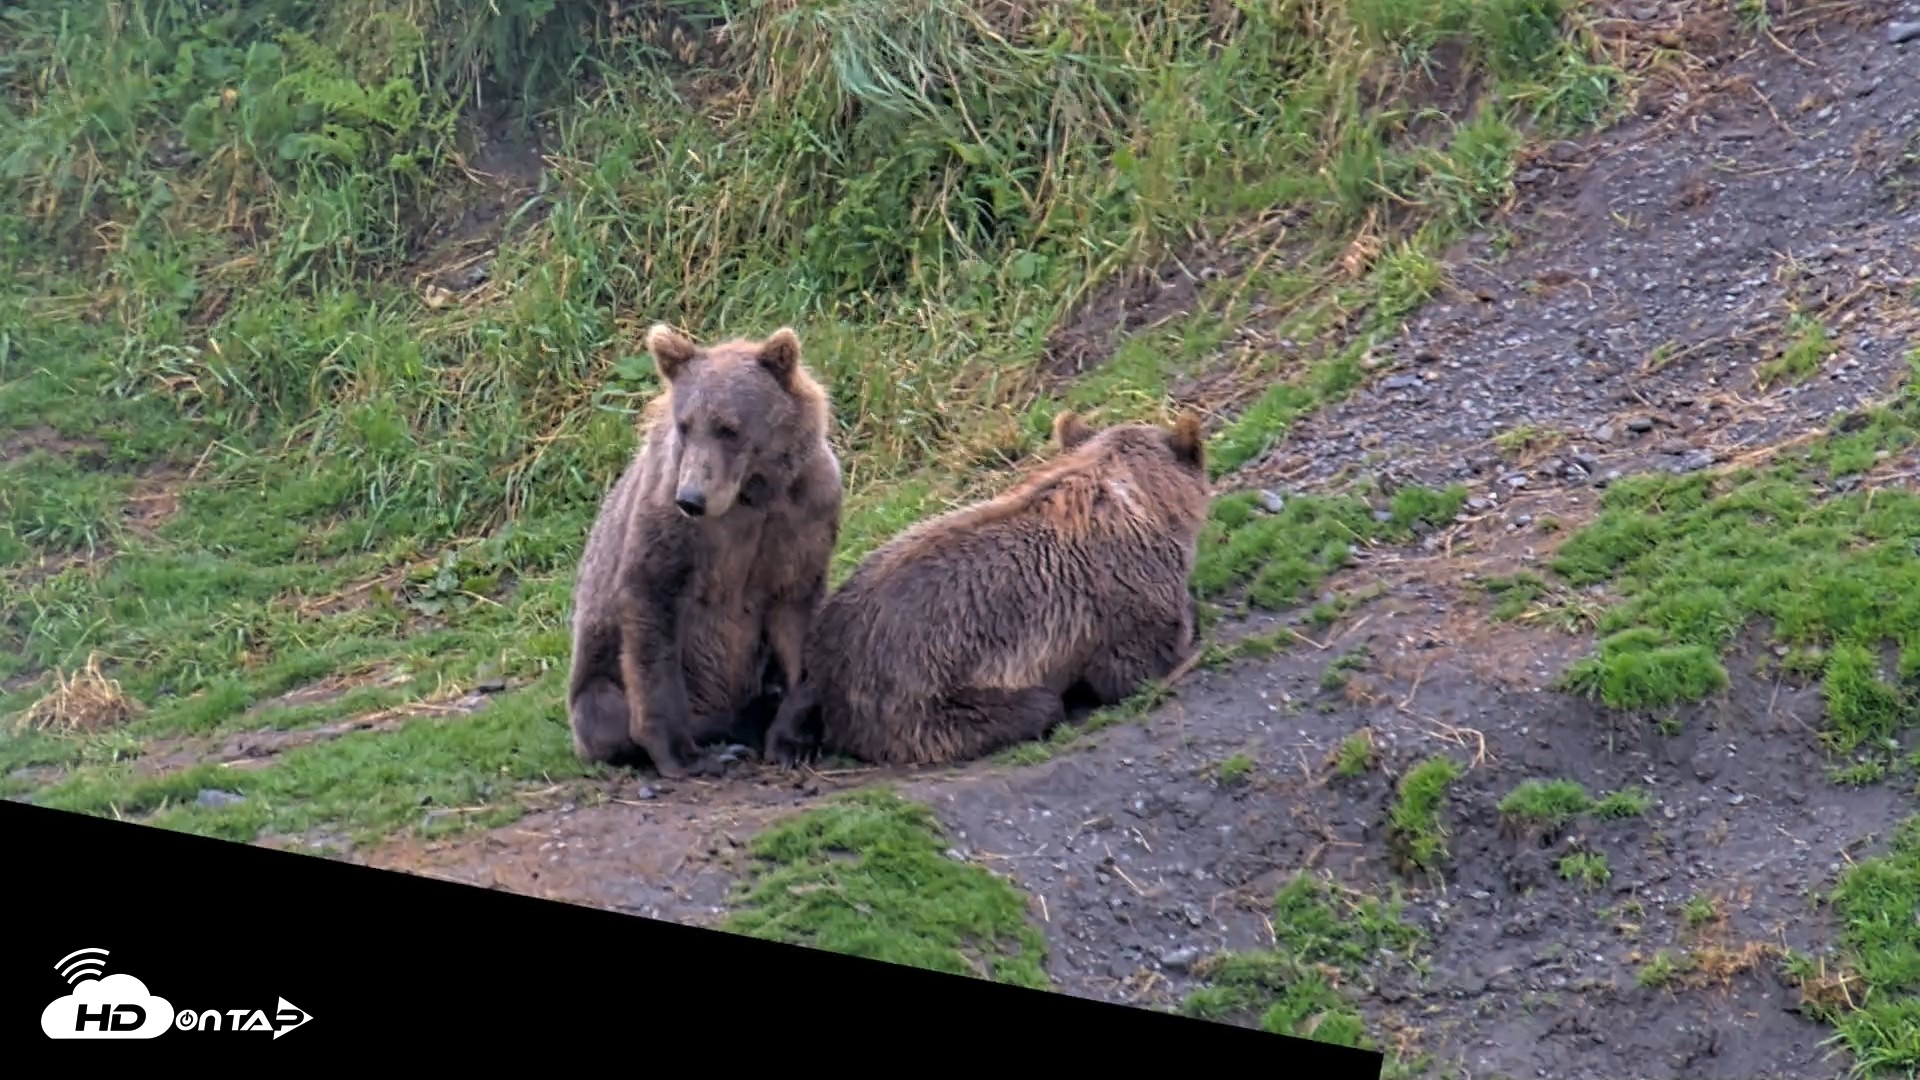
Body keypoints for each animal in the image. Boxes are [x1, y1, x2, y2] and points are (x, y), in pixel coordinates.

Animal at [567, 322, 843, 778]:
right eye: (685, 425)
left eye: (728, 427)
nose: (692, 499)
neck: (748, 496)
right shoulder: (670, 525)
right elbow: (651, 614)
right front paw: (686, 755)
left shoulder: (803, 517)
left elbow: (798, 615)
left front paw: (792, 741)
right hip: (596, 678)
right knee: (604, 708)